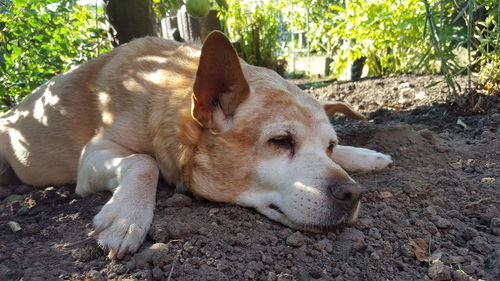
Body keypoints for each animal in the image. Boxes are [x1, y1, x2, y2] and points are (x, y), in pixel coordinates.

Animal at [0, 31, 390, 258]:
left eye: (329, 146)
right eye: (281, 141)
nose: (353, 194)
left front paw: (366, 155)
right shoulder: (93, 156)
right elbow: (144, 161)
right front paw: (125, 217)